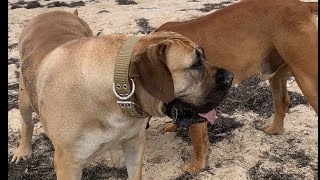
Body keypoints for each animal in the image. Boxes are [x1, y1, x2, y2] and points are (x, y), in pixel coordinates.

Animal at [11, 10, 234, 180]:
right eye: (195, 65)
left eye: (204, 56)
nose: (230, 77)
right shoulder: (68, 164)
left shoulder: (134, 143)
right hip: (24, 97)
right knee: (27, 122)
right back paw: (23, 150)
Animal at [157, 0, 318, 175]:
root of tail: (303, 6)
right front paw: (173, 125)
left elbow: (198, 141)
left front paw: (197, 165)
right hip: (276, 74)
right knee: (282, 101)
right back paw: (275, 128)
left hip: (307, 79)